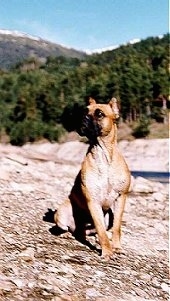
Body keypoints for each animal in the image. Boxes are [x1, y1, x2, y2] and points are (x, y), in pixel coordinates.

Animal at [53, 96, 131, 258]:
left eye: (99, 114)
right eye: (85, 111)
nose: (83, 117)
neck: (103, 154)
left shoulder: (121, 198)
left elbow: (116, 227)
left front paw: (116, 247)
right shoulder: (93, 201)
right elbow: (101, 230)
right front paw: (107, 252)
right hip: (61, 213)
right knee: (71, 230)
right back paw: (68, 234)